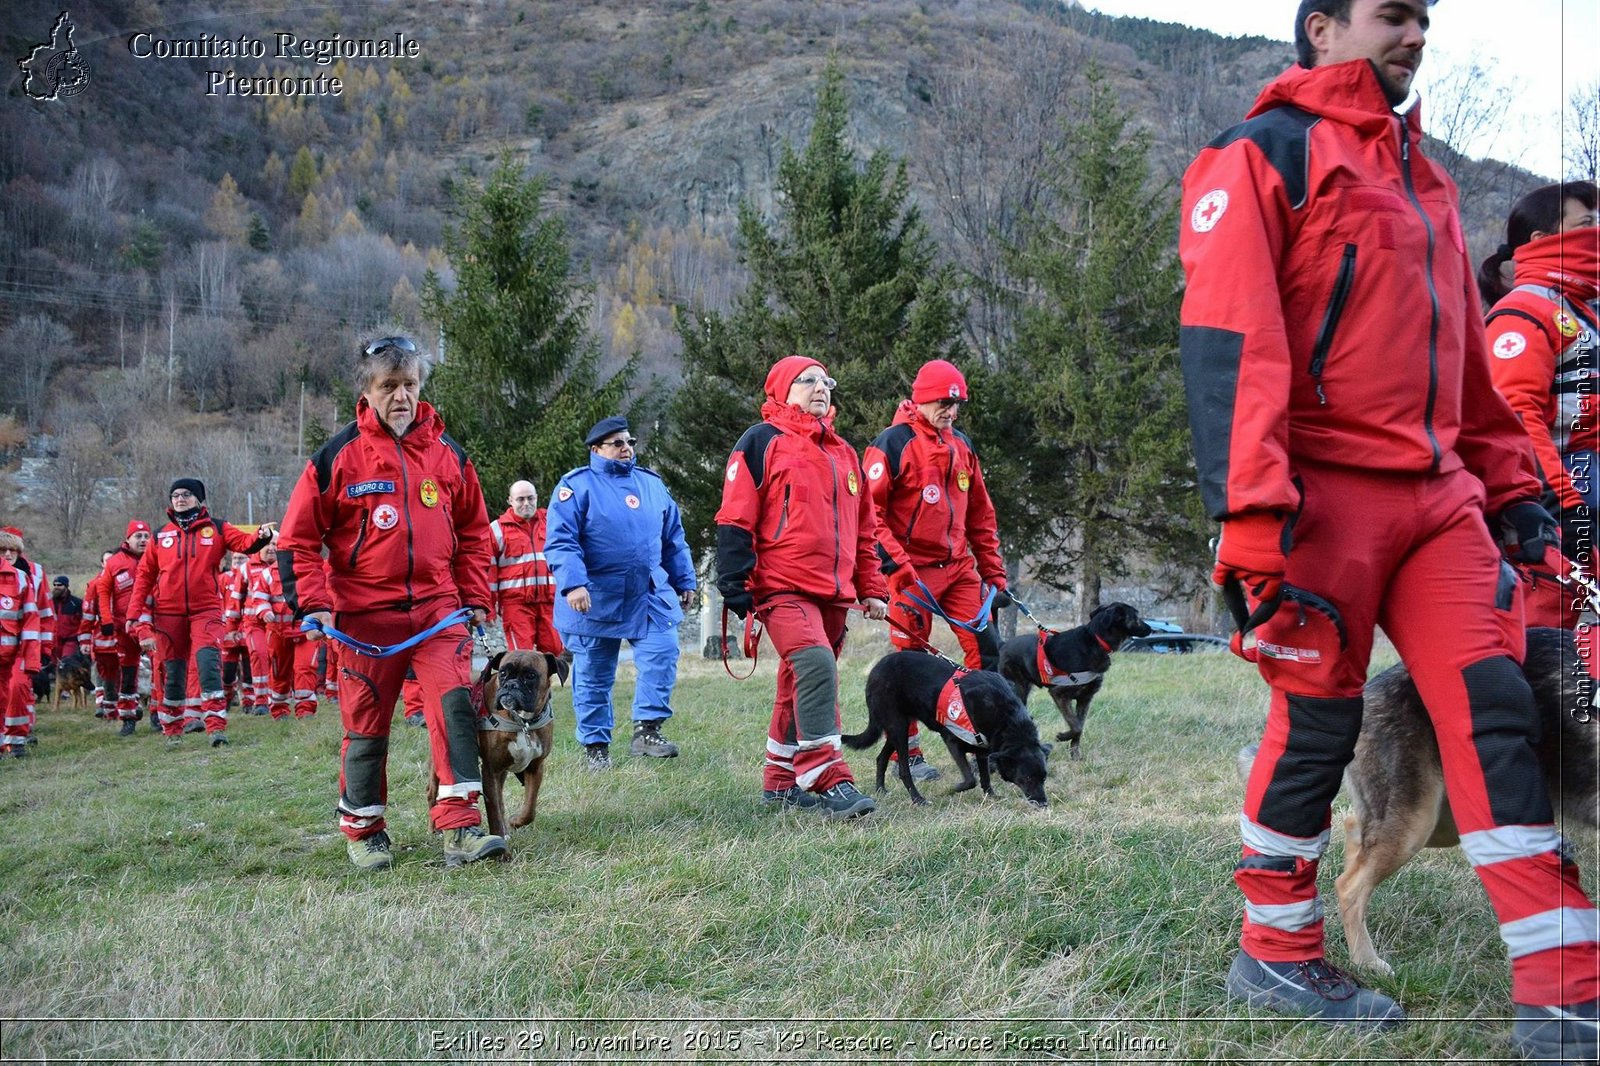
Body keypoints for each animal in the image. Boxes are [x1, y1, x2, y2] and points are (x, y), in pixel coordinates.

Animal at [844, 646, 1056, 806]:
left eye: (1044, 778)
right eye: (1026, 779)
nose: (1043, 803)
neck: (1007, 717)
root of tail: (876, 669)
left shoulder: (982, 748)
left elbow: (985, 776)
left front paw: (991, 795)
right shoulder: (952, 740)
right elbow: (971, 779)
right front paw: (952, 789)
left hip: (900, 727)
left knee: (881, 758)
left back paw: (881, 789)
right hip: (898, 726)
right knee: (904, 771)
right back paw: (918, 799)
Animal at [998, 598, 1152, 755]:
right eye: (1136, 617)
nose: (1151, 629)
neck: (1096, 639)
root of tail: (1003, 645)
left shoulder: (1085, 699)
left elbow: (1080, 726)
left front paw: (1075, 753)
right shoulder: (1059, 694)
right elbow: (1076, 725)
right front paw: (1062, 737)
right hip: (1017, 687)